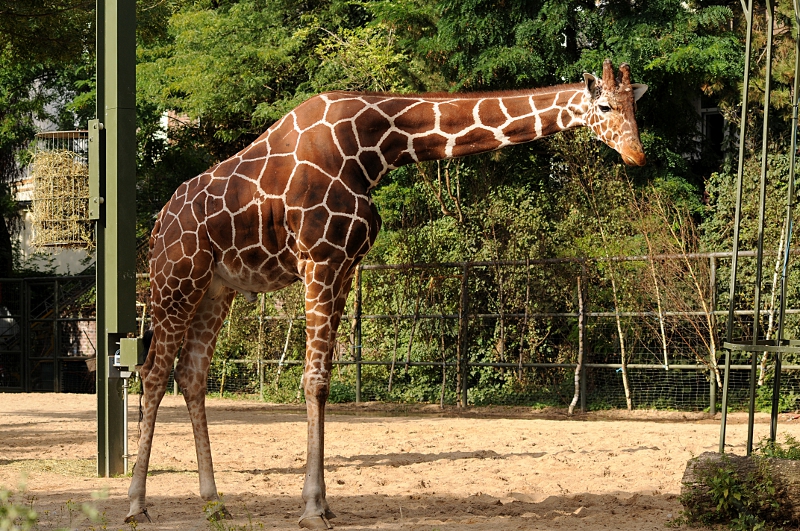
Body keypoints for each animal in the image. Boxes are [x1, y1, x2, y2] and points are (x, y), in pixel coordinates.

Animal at [125, 60, 647, 529]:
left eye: (635, 107)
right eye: (604, 105)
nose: (637, 155)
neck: (377, 147)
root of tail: (158, 223)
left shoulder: (344, 267)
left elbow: (324, 380)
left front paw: (325, 505)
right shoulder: (320, 259)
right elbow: (313, 380)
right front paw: (311, 509)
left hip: (217, 289)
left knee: (192, 375)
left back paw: (215, 505)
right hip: (175, 280)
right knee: (153, 374)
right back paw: (137, 506)